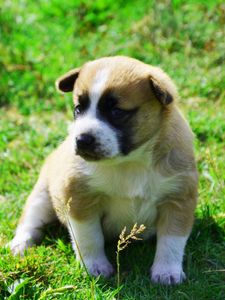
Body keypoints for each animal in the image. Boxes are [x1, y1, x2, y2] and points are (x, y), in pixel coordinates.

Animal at [9, 56, 198, 286]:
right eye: (78, 109)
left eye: (116, 112)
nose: (81, 140)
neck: (130, 162)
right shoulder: (80, 200)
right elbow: (90, 238)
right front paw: (95, 268)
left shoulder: (178, 199)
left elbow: (171, 241)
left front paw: (167, 272)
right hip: (42, 196)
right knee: (29, 221)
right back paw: (20, 244)